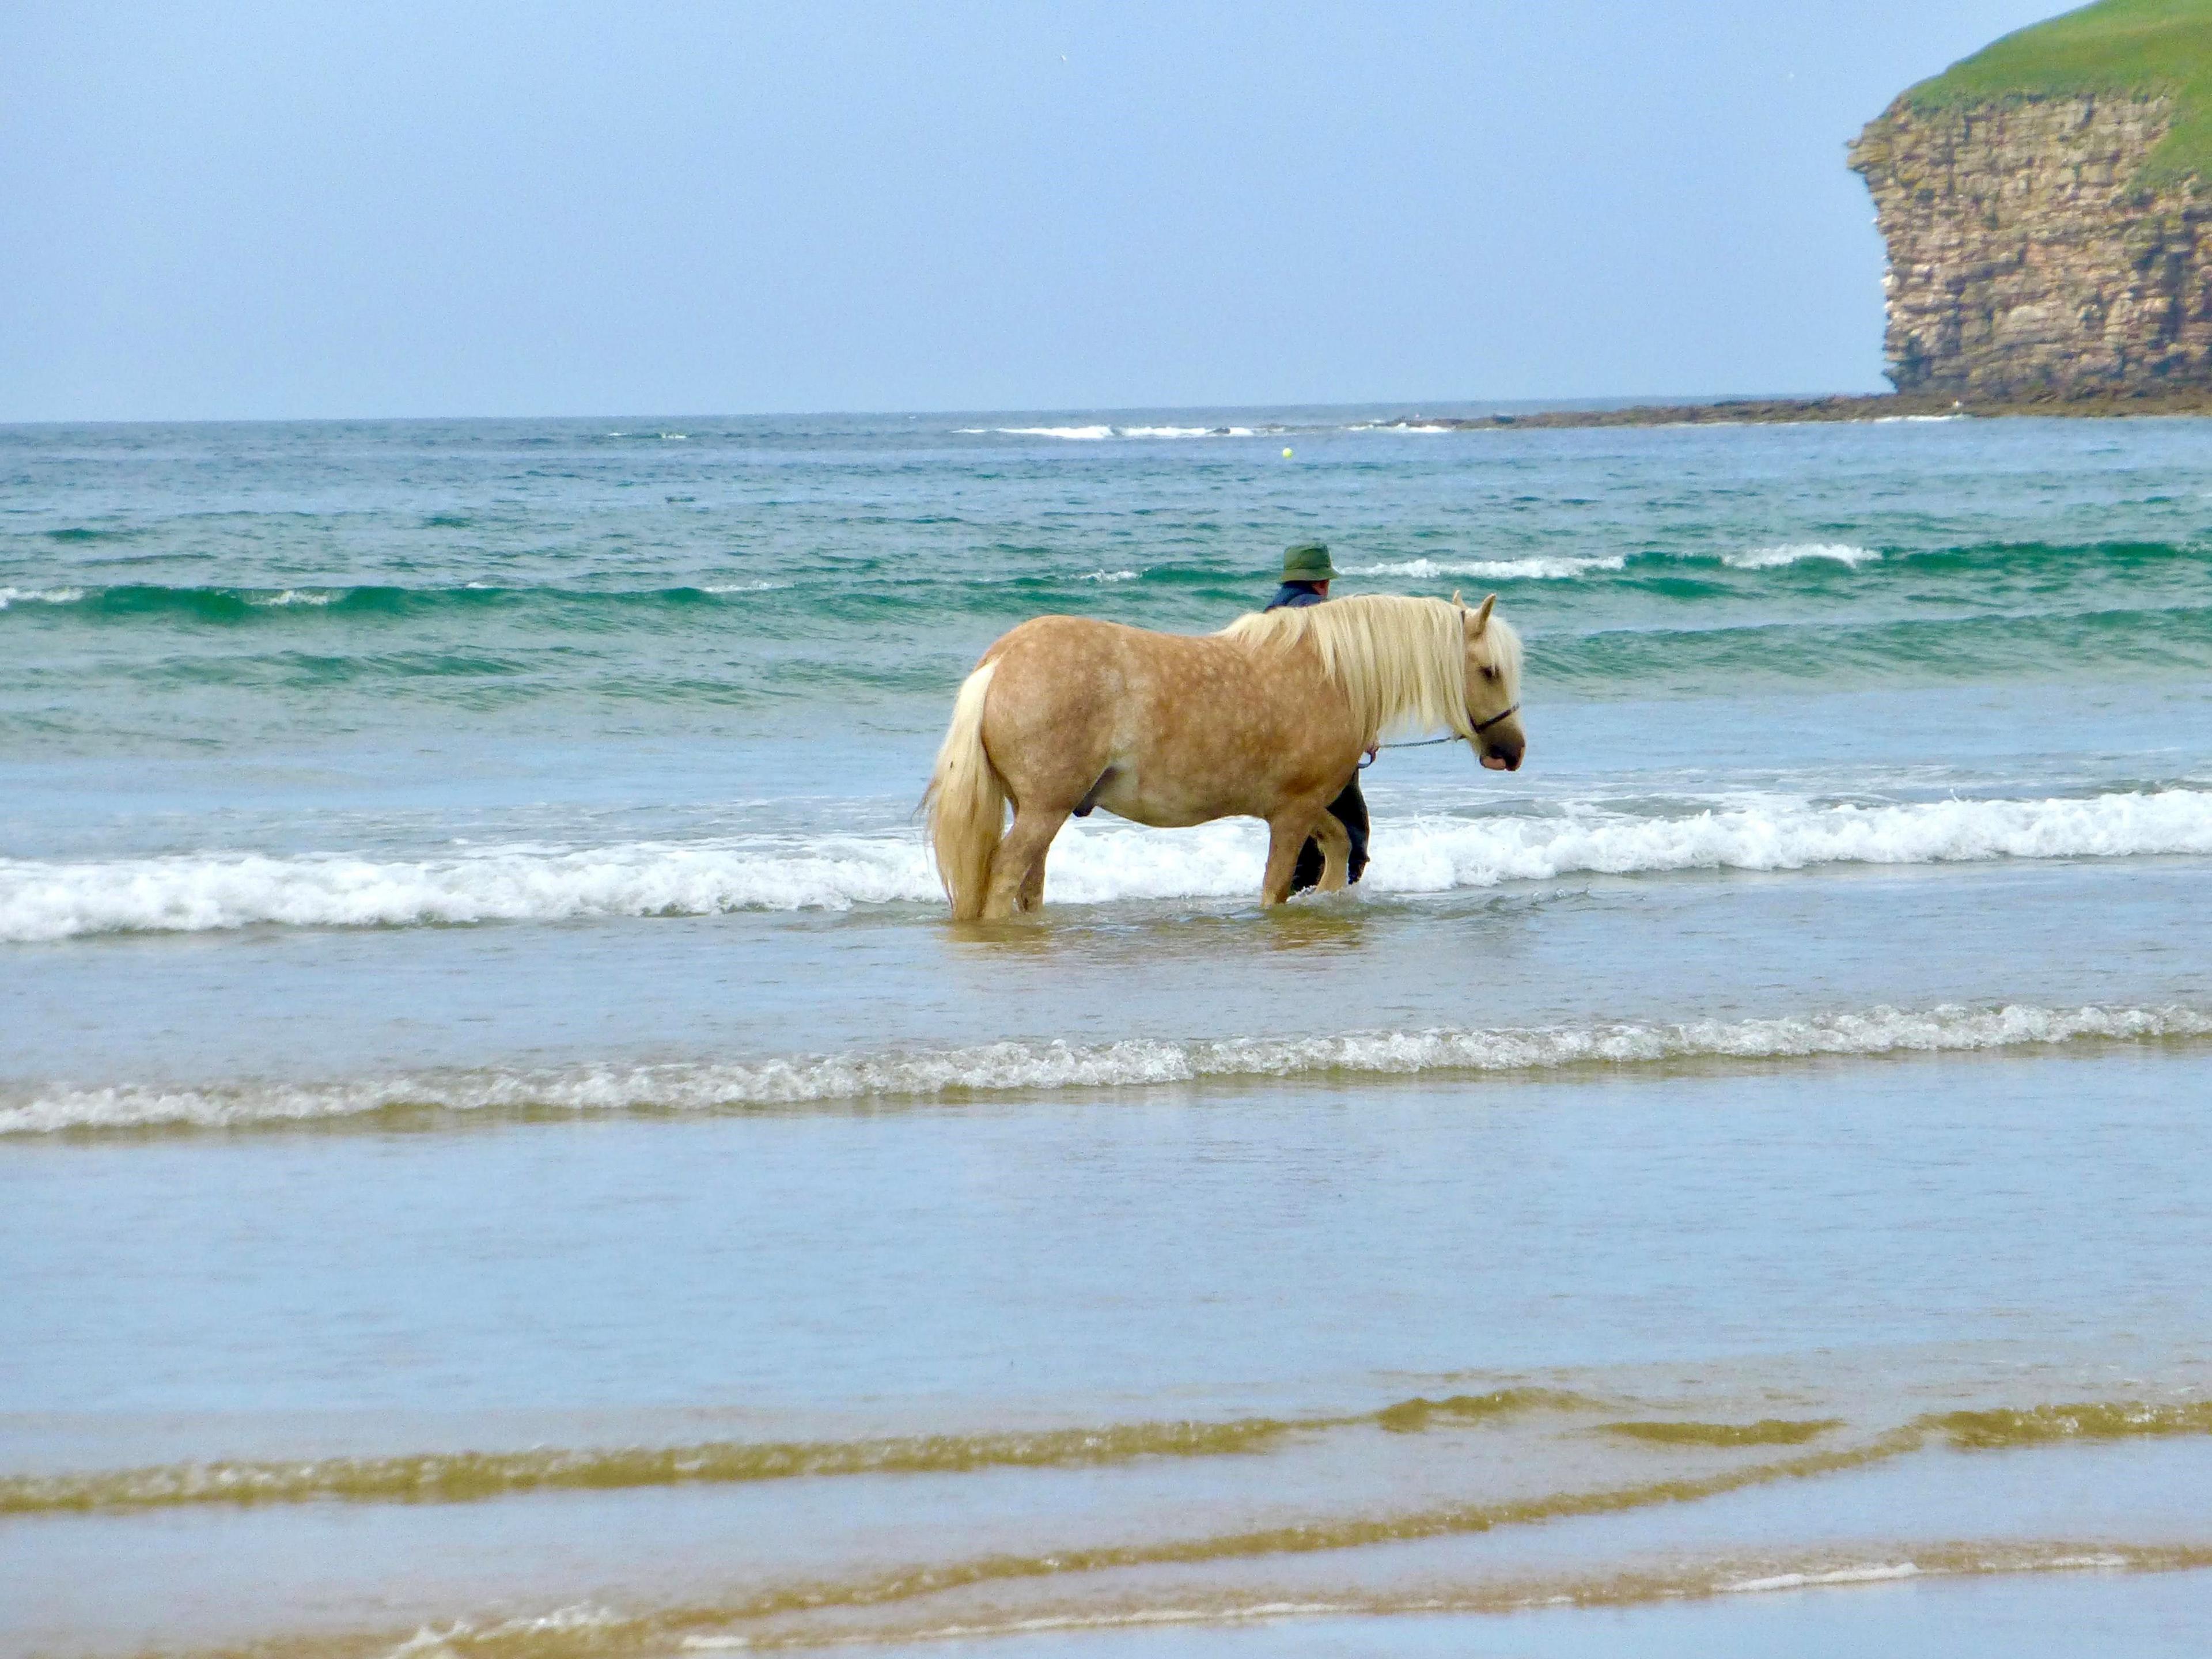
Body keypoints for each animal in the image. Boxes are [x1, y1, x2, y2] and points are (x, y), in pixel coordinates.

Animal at [915, 593, 1521, 925]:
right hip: (1045, 810)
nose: (1512, 752)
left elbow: (1338, 846)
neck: (1334, 675)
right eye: (1489, 670)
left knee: (1028, 884)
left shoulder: (1299, 807)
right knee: (1004, 878)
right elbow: (1277, 885)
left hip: (1037, 811)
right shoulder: (1292, 813)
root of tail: (1002, 660)